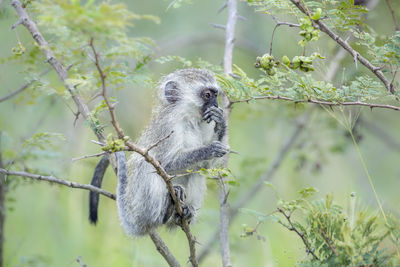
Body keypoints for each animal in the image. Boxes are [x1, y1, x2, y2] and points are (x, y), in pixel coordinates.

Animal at [90, 69, 228, 237]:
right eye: (207, 95)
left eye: (215, 94)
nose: (216, 104)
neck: (188, 119)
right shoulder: (168, 126)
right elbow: (164, 164)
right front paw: (208, 150)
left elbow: (206, 166)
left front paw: (220, 123)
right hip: (141, 205)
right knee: (146, 164)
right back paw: (165, 211)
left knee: (196, 171)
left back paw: (183, 213)